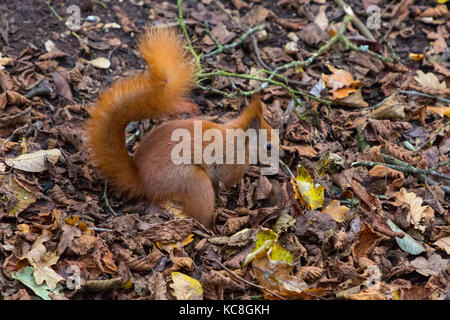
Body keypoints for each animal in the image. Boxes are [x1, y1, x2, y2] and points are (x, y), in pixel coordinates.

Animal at [85, 26, 280, 228]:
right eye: (268, 146)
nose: (278, 160)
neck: (239, 139)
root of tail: (142, 182)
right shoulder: (228, 168)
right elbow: (221, 184)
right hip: (193, 182)